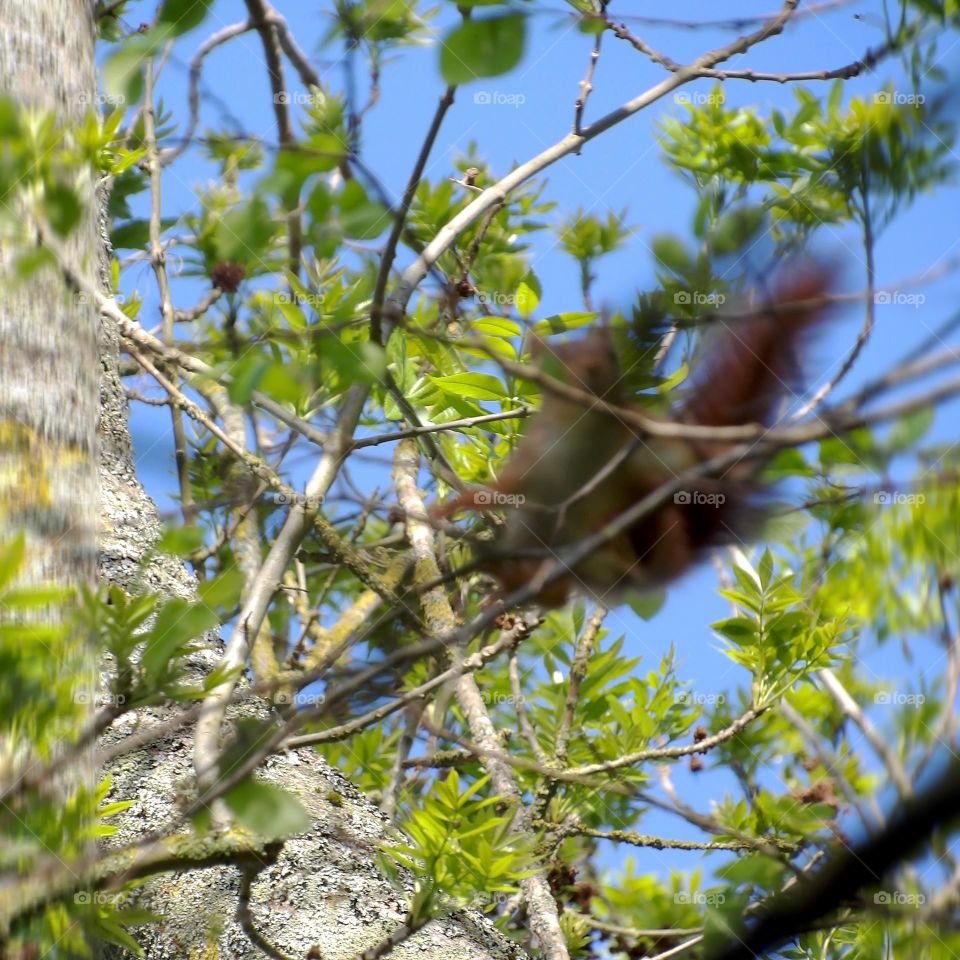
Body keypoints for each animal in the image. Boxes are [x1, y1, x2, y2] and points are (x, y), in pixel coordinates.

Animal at [438, 264, 835, 607]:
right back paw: (510, 577)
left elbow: (687, 467)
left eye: (610, 354)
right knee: (555, 596)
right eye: (555, 365)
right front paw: (444, 510)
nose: (592, 371)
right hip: (535, 533)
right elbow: (495, 491)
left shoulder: (644, 440)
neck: (587, 434)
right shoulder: (532, 462)